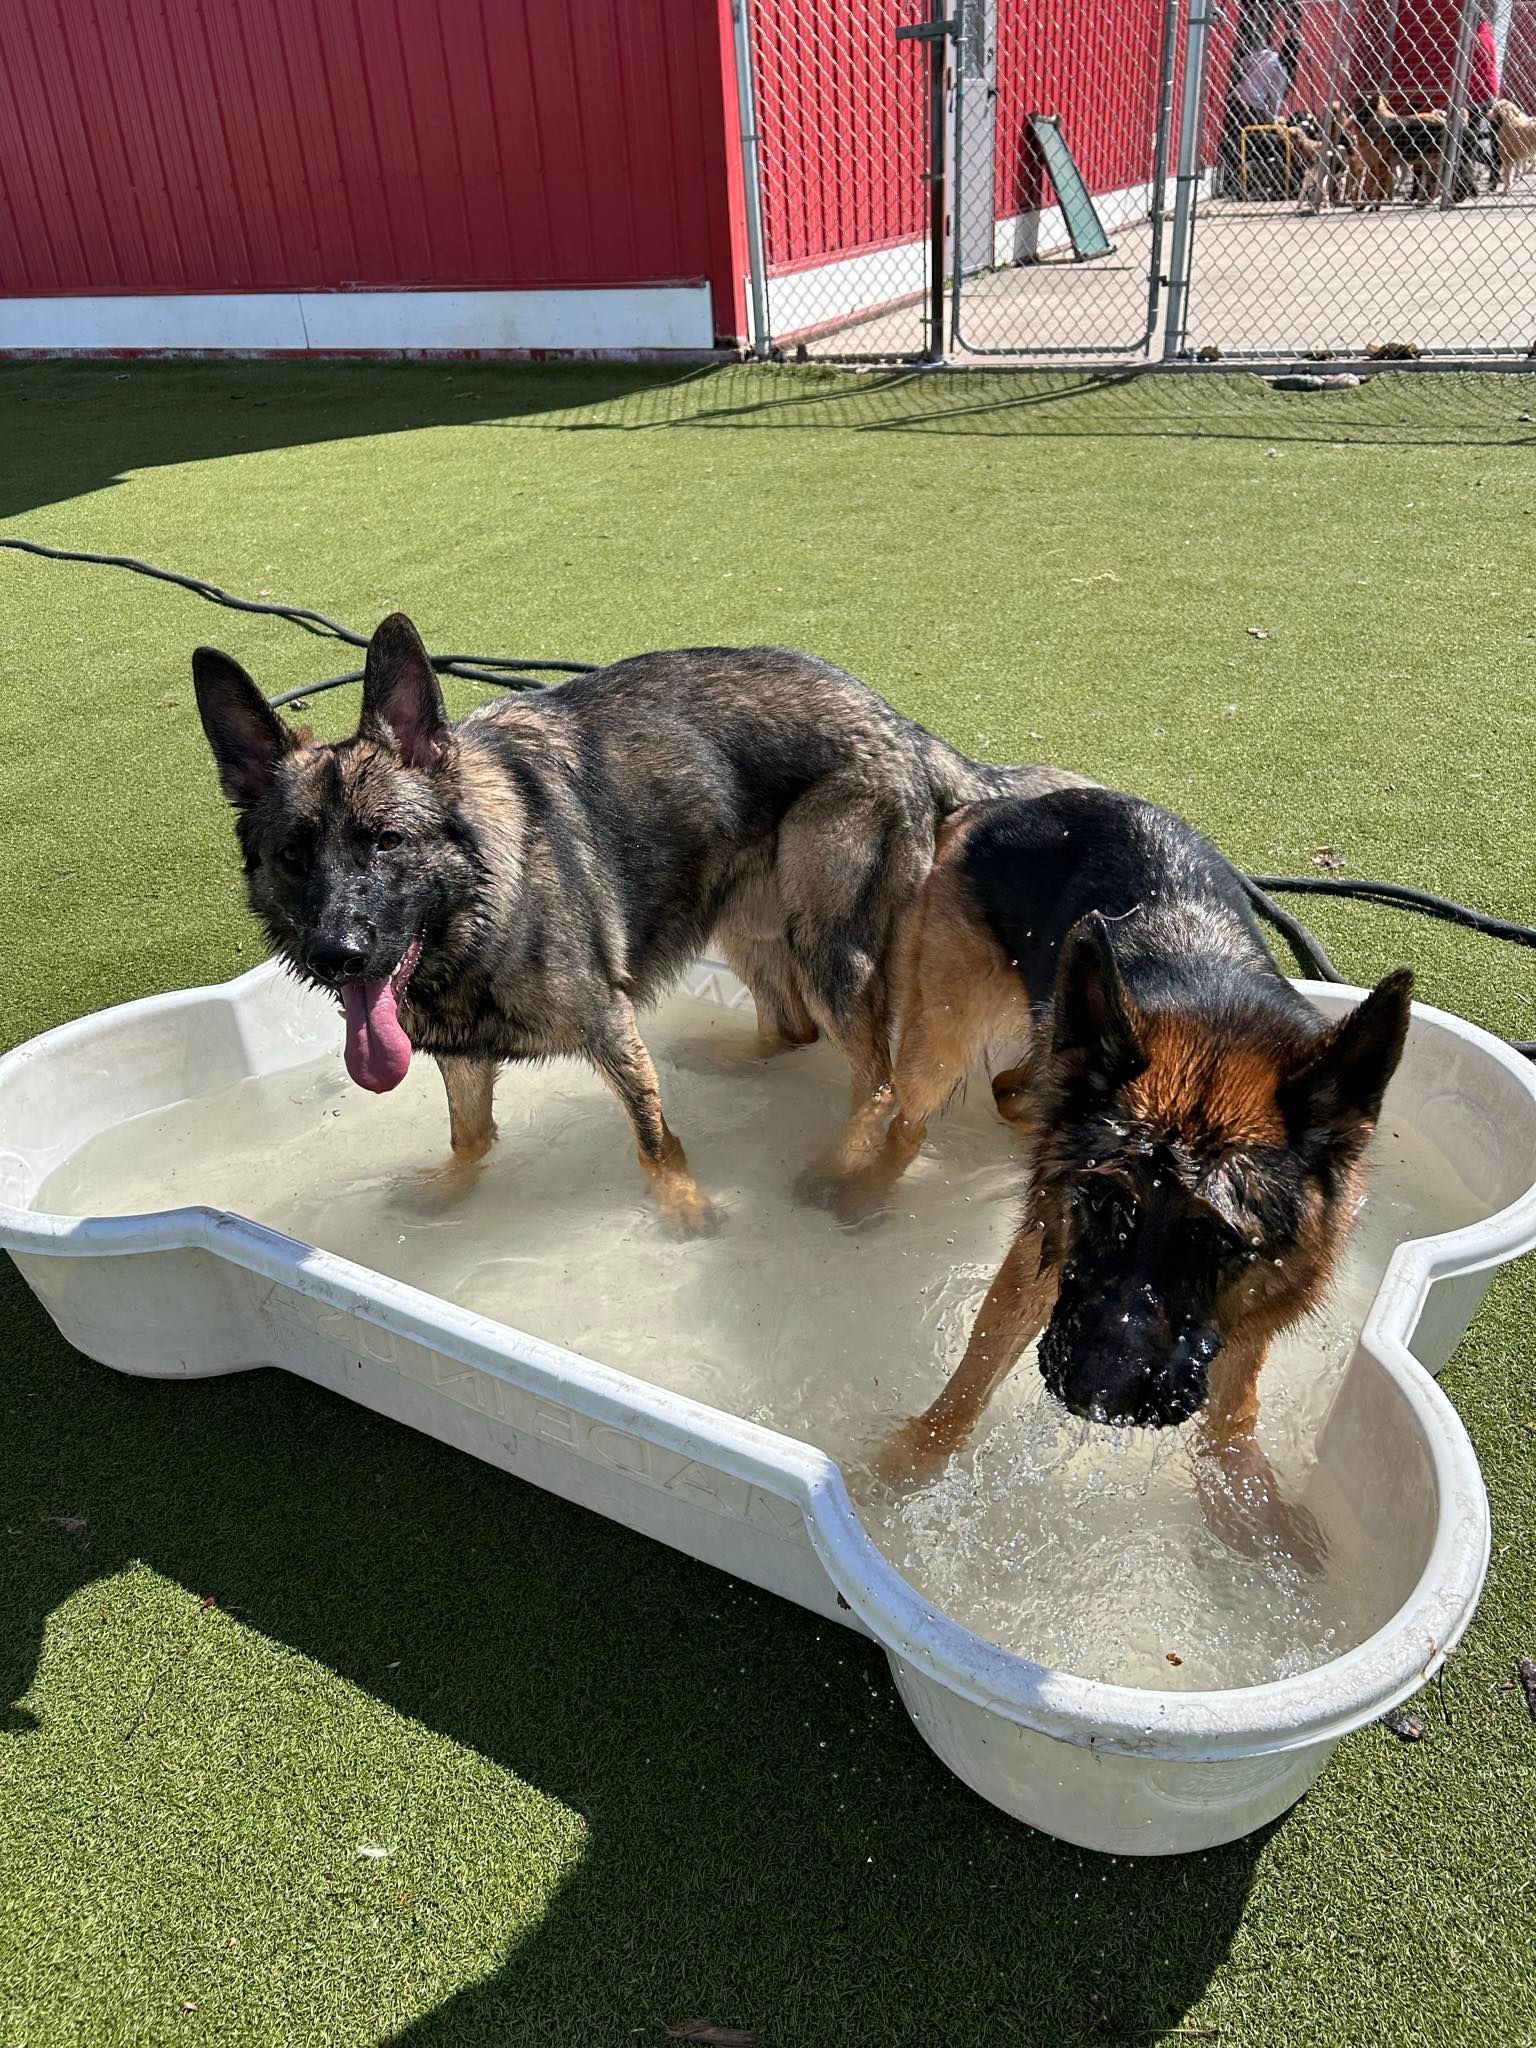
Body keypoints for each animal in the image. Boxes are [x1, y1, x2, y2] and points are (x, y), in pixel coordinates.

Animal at [194, 613, 1082, 1236]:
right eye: (293, 855)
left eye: (386, 840)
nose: (339, 956)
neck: (482, 903)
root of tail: (901, 724)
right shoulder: (461, 1055)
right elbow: (470, 1138)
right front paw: (454, 1188)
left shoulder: (609, 1024)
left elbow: (654, 1140)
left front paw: (685, 1208)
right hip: (747, 923)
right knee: (791, 1028)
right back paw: (738, 1060)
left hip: (830, 947)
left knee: (879, 1081)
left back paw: (836, 1162)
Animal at [851, 788, 1411, 1555]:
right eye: (1101, 1204)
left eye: (1218, 1240)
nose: (1097, 1393)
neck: (1218, 1028)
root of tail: (1003, 802)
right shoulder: (1043, 1263)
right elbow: (972, 1375)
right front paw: (907, 1466)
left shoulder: (1256, 1307)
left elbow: (1236, 1407)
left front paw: (1244, 1504)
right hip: (940, 1043)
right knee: (901, 1109)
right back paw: (856, 1187)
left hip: (1043, 1032)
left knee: (1008, 1088)